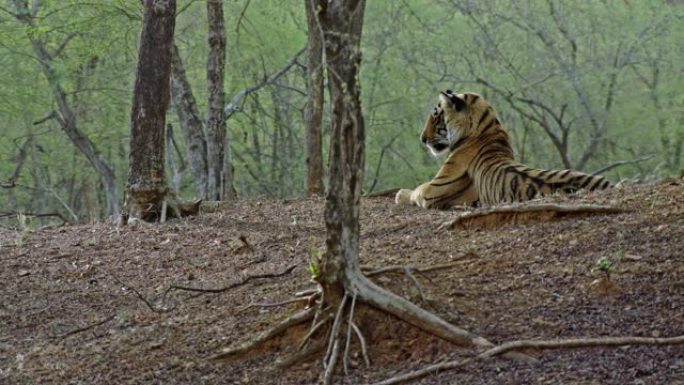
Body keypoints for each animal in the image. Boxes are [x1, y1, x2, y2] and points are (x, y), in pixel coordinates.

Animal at [392, 89, 612, 210]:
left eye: (436, 116)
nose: (422, 139)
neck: (486, 127)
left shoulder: (433, 191)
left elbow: (416, 190)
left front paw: (400, 193)